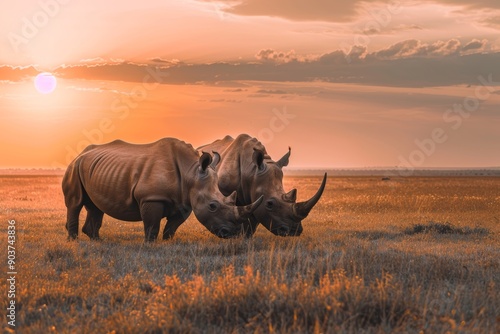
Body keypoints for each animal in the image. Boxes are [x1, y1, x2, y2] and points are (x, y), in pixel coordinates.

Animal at [62, 138, 264, 243]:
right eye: (212, 206)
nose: (234, 233)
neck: (191, 172)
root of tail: (80, 154)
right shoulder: (151, 197)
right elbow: (152, 225)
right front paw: (150, 244)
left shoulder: (184, 201)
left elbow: (172, 226)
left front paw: (168, 242)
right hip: (74, 167)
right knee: (75, 203)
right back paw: (74, 241)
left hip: (92, 168)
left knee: (95, 207)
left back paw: (97, 240)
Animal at [197, 134, 326, 237]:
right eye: (270, 204)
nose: (294, 231)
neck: (251, 171)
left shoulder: (254, 197)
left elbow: (251, 221)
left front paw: (245, 239)